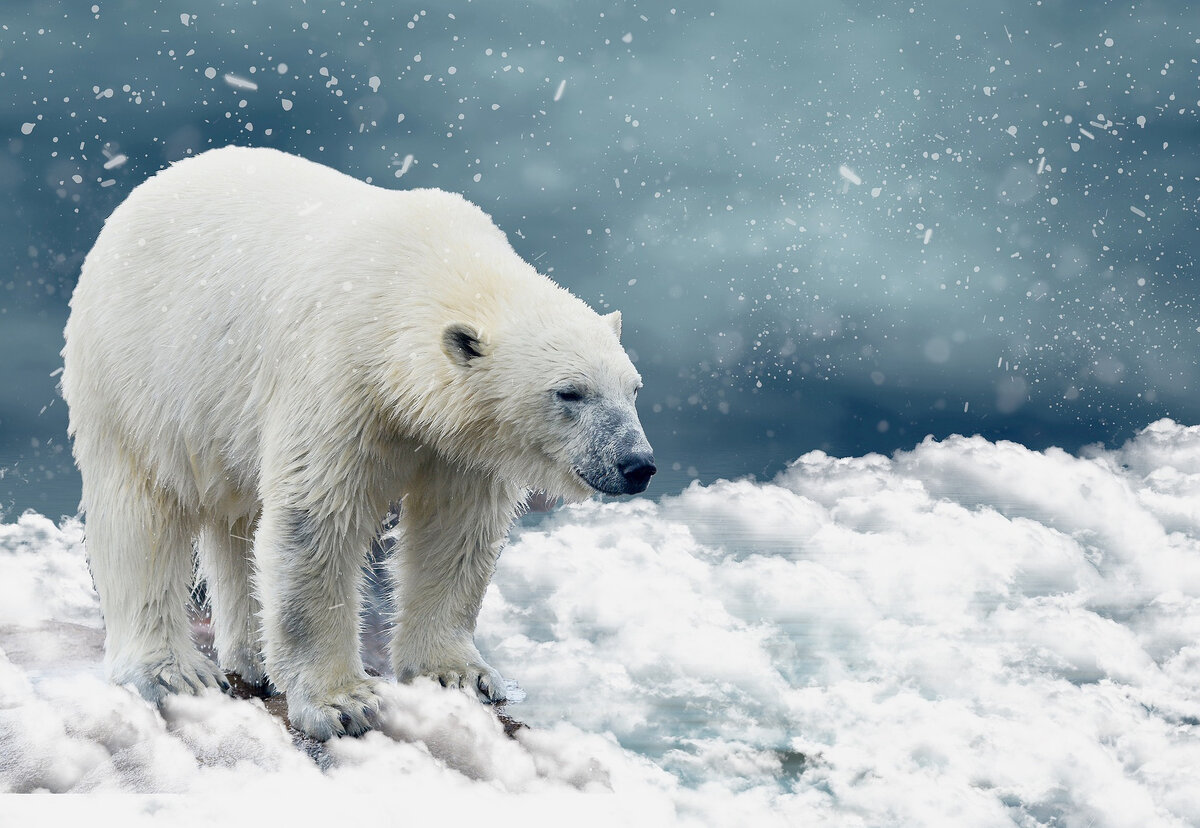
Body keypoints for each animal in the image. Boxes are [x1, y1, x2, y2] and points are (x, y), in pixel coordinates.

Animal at [60, 145, 655, 740]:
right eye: (569, 392)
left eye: (633, 389)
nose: (637, 464)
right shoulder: (338, 377)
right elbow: (316, 522)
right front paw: (342, 703)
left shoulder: (460, 442)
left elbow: (456, 532)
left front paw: (460, 674)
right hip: (139, 379)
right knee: (140, 515)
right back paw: (173, 671)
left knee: (238, 521)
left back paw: (253, 659)